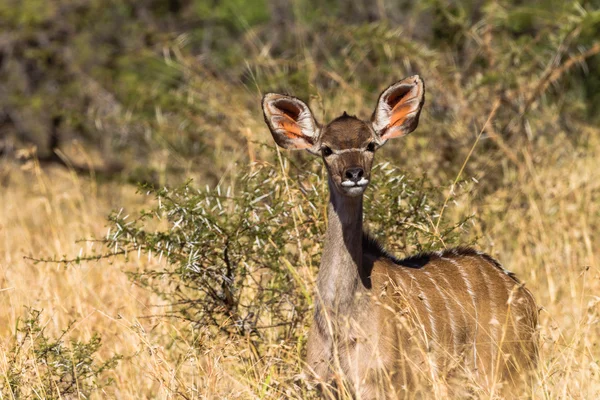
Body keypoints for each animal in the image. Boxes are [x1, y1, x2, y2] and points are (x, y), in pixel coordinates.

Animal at [260, 75, 536, 396]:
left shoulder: (381, 385)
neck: (340, 316)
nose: (354, 174)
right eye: (326, 149)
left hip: (506, 378)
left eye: (370, 145)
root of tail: (525, 297)